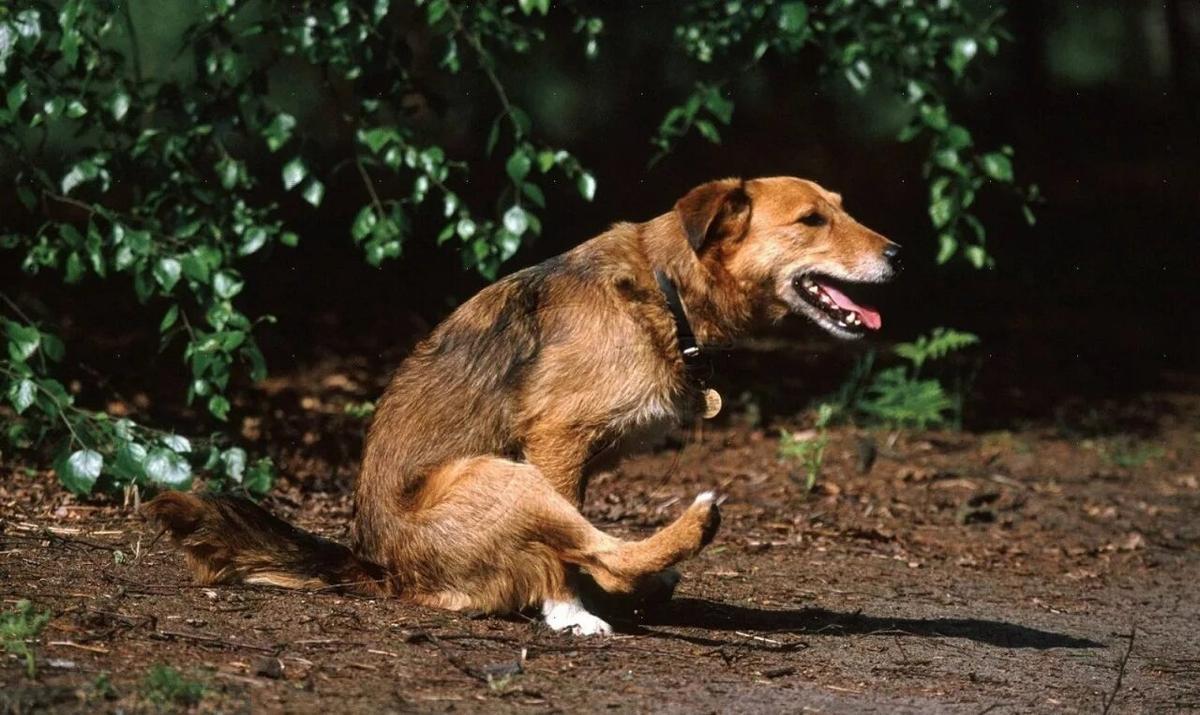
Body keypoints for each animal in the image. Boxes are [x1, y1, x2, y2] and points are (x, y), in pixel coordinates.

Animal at [145, 176, 897, 633]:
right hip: (500, 476)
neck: (664, 289)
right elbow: (572, 553)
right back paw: (675, 541)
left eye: (840, 207)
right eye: (811, 220)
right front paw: (568, 611)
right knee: (592, 546)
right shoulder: (557, 439)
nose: (899, 252)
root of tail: (382, 571)